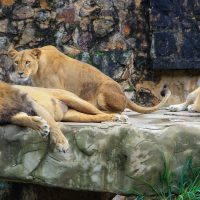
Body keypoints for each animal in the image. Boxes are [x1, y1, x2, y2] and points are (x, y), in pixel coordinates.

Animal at [7, 45, 170, 114]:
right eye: (16, 62)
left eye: (27, 62)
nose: (20, 73)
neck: (37, 70)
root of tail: (124, 93)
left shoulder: (57, 88)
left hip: (103, 91)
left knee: (119, 110)